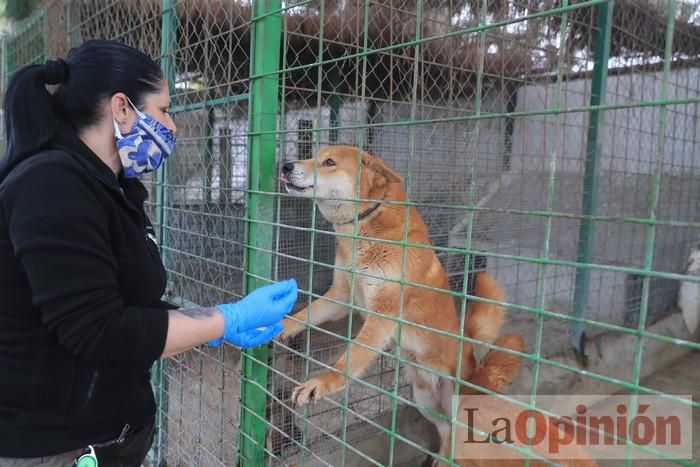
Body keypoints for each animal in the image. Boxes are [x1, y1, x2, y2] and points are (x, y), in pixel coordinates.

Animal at [278, 147, 508, 446]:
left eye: (329, 162)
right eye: (314, 155)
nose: (285, 166)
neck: (363, 225)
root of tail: (468, 347)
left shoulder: (382, 314)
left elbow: (351, 358)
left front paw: (323, 383)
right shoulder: (341, 295)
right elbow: (304, 315)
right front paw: (279, 326)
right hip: (425, 401)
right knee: (444, 430)